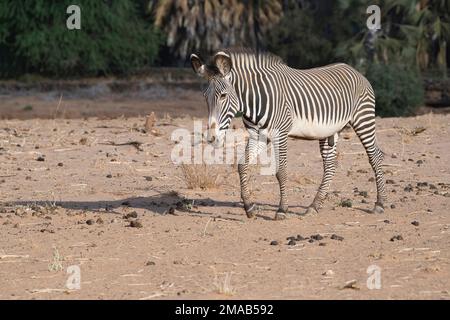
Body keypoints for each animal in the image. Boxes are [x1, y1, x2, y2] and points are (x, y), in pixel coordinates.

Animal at [190, 49, 386, 220]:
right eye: (205, 97)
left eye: (223, 96)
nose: (212, 138)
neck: (254, 100)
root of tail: (353, 69)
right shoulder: (257, 135)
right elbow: (242, 166)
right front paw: (249, 207)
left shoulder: (280, 134)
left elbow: (281, 172)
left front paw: (282, 210)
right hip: (329, 131)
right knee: (330, 165)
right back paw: (314, 206)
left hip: (363, 119)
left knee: (375, 156)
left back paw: (380, 204)